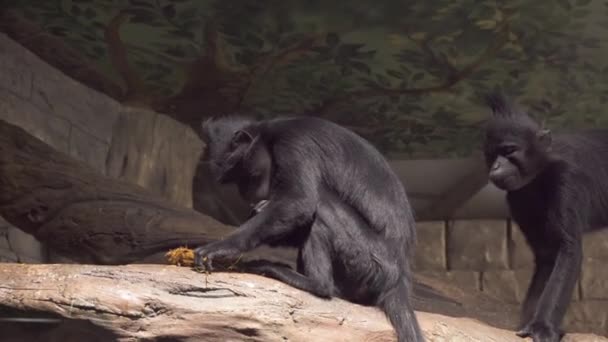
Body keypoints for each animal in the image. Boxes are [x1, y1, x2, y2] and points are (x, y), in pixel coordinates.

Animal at [194, 116, 422, 340]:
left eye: (245, 175)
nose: (245, 192)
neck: (270, 134)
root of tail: (398, 277)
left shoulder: (295, 144)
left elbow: (299, 203)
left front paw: (221, 247)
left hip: (368, 259)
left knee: (320, 204)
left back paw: (316, 284)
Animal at [484, 92, 608, 340]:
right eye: (491, 156)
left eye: (509, 151)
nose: (495, 167)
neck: (540, 176)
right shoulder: (518, 199)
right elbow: (547, 256)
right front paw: (531, 324)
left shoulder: (566, 181)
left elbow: (568, 249)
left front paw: (543, 327)